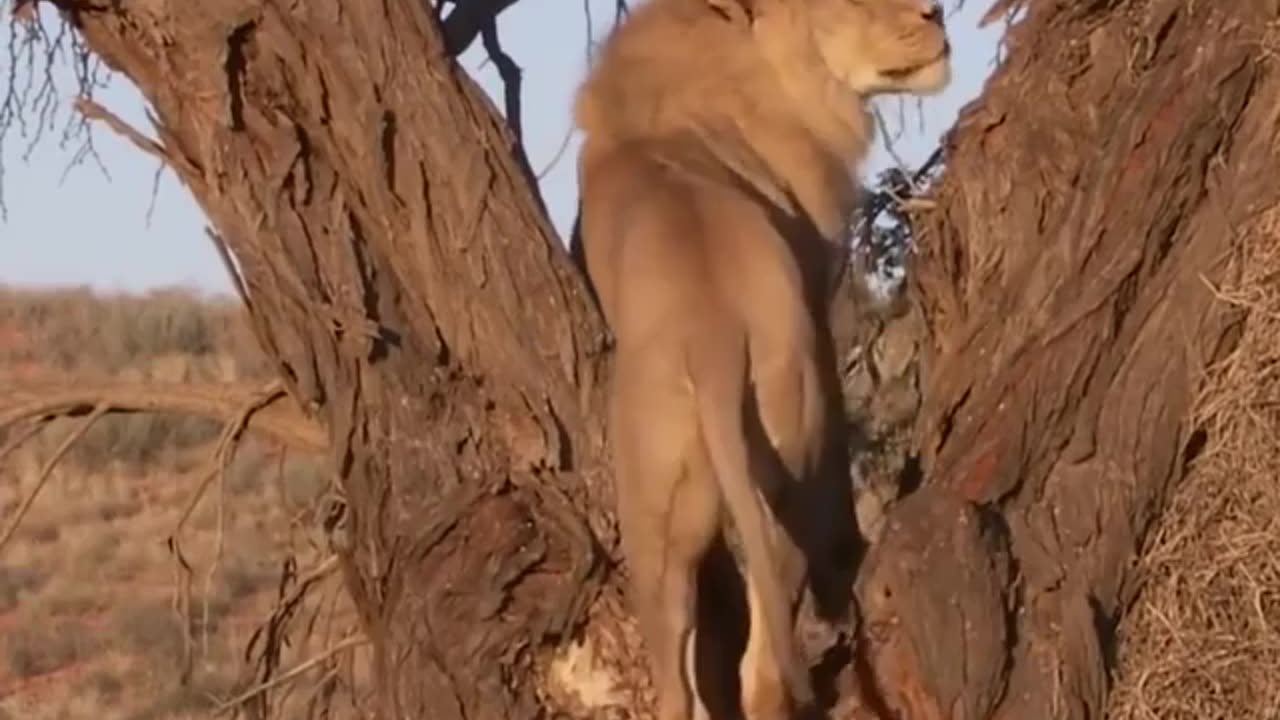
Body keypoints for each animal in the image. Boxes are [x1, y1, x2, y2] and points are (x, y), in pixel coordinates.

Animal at [570, 2, 952, 712]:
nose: (935, 13)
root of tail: (709, 332)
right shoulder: (822, 302)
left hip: (666, 515)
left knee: (682, 672)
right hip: (786, 446)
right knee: (764, 656)